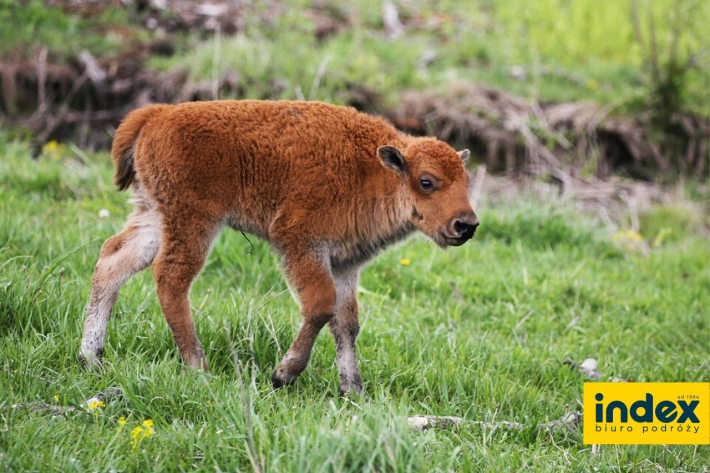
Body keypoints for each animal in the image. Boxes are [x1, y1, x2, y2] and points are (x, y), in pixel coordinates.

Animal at [80, 100, 482, 394]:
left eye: (466, 181)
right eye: (427, 181)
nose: (466, 224)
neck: (374, 169)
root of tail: (157, 114)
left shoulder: (345, 265)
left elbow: (346, 323)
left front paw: (352, 390)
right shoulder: (301, 244)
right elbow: (320, 305)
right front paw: (283, 375)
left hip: (155, 215)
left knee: (113, 261)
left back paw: (90, 357)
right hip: (193, 222)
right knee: (171, 278)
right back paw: (198, 366)